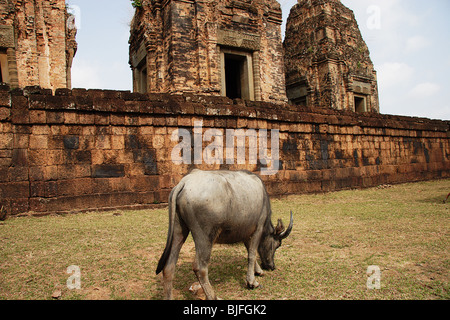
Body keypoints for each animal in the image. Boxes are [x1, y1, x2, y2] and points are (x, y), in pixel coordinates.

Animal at [156, 170, 294, 300]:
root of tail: (184, 183)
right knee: (199, 267)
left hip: (178, 230)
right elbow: (252, 254)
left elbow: (249, 250)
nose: (271, 266)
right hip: (205, 236)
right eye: (277, 245)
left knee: (168, 266)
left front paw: (258, 271)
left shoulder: (245, 232)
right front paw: (252, 282)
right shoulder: (258, 229)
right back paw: (213, 296)